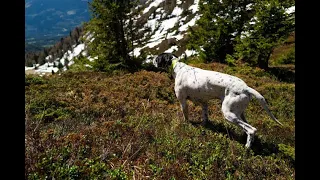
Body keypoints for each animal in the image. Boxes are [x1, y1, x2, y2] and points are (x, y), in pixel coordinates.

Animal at [154, 52, 282, 148]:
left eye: (158, 57)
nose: (152, 59)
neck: (178, 67)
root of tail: (246, 88)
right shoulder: (204, 103)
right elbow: (205, 117)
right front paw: (204, 126)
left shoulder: (183, 101)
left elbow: (186, 116)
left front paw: (186, 124)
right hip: (239, 112)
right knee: (246, 127)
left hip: (228, 113)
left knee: (251, 130)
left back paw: (247, 148)